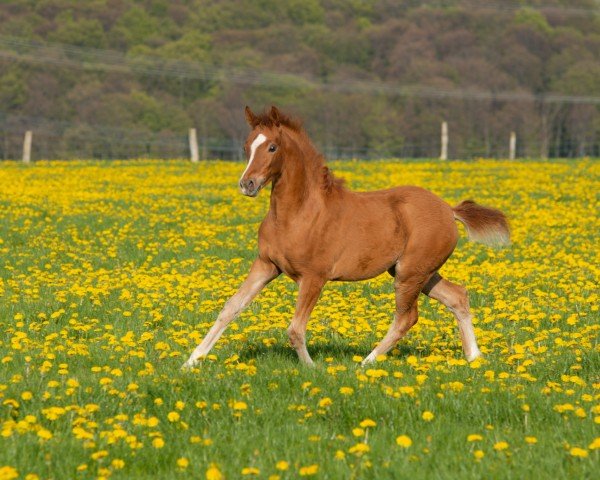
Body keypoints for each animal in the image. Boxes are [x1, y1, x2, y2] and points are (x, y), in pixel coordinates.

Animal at [182, 106, 506, 368]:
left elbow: (295, 329)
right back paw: (474, 357)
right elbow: (230, 308)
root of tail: (449, 210)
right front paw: (191, 361)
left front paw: (311, 368)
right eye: (247, 146)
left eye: (272, 147)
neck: (297, 214)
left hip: (410, 274)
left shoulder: (314, 277)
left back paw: (366, 362)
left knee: (407, 317)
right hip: (418, 272)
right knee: (457, 297)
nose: (247, 184)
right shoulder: (265, 265)